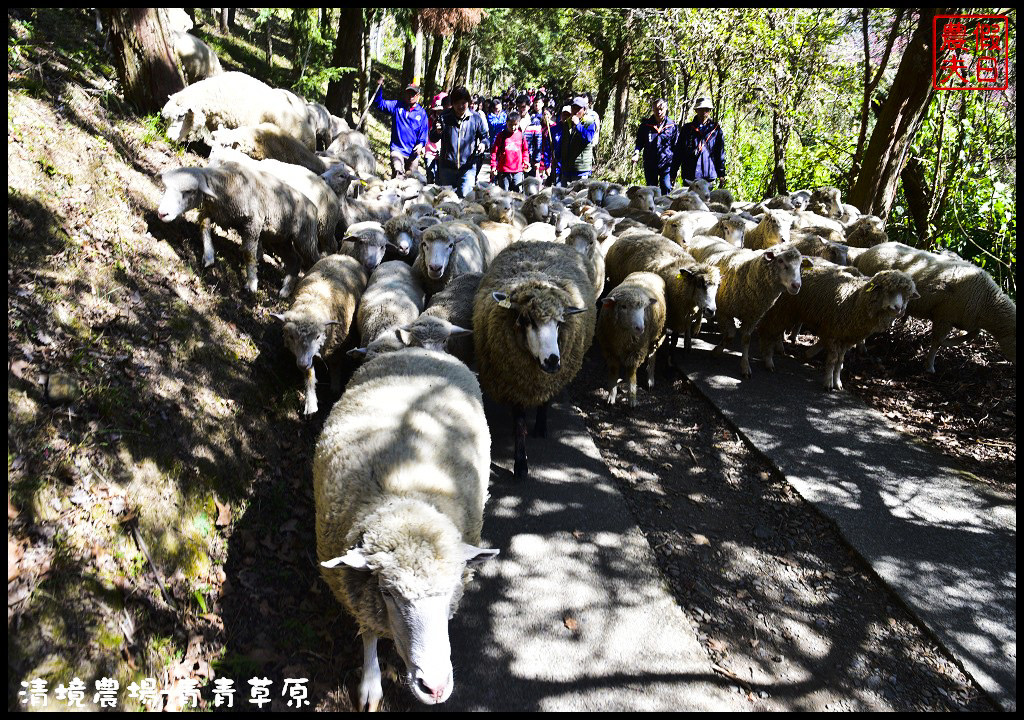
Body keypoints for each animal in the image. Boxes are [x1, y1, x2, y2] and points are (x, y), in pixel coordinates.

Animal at [315, 348, 499, 708]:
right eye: (388, 593)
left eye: (452, 591)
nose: (435, 688)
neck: (402, 498)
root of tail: (421, 348)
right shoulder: (358, 591)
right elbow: (369, 632)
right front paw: (371, 683)